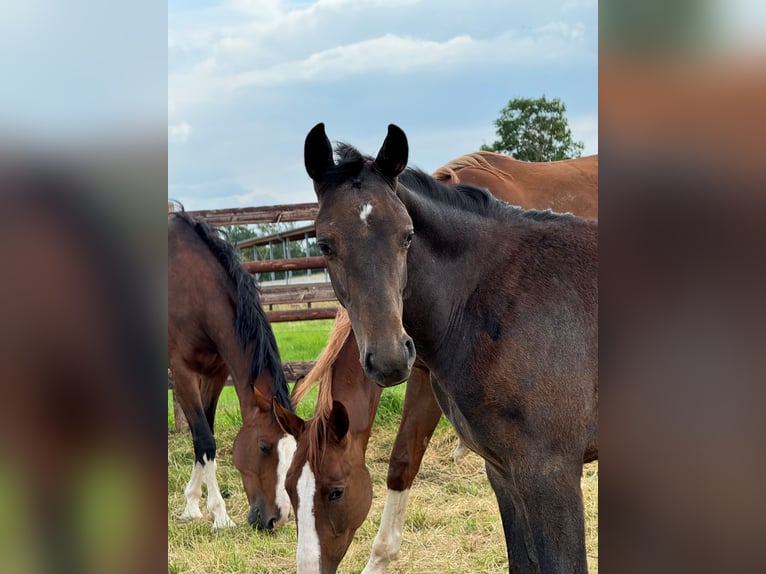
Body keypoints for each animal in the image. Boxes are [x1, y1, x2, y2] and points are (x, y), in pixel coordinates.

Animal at [168, 209, 296, 532]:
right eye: (264, 447)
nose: (276, 520)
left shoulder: (214, 372)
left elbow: (203, 434)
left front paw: (191, 506)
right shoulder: (182, 372)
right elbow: (204, 439)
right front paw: (220, 515)